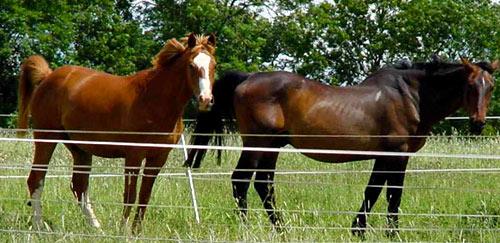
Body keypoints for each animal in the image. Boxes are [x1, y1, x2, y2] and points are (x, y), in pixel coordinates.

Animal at [17, 33, 217, 233]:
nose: (206, 100)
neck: (154, 100)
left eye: (213, 65)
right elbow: (130, 195)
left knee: (79, 187)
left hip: (80, 149)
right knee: (36, 179)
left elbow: (144, 196)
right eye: (191, 65)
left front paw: (136, 232)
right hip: (46, 139)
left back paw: (97, 228)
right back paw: (39, 226)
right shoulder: (134, 155)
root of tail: (47, 76)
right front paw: (123, 231)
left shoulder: (158, 158)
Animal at [187, 57, 496, 235]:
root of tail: (247, 78)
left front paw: (359, 229)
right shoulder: (396, 154)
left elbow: (376, 191)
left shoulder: (388, 156)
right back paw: (249, 229)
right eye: (470, 85)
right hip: (257, 144)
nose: (478, 124)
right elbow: (390, 195)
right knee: (241, 181)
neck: (411, 96)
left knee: (264, 185)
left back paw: (282, 230)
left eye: (490, 86)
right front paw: (387, 233)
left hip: (273, 147)